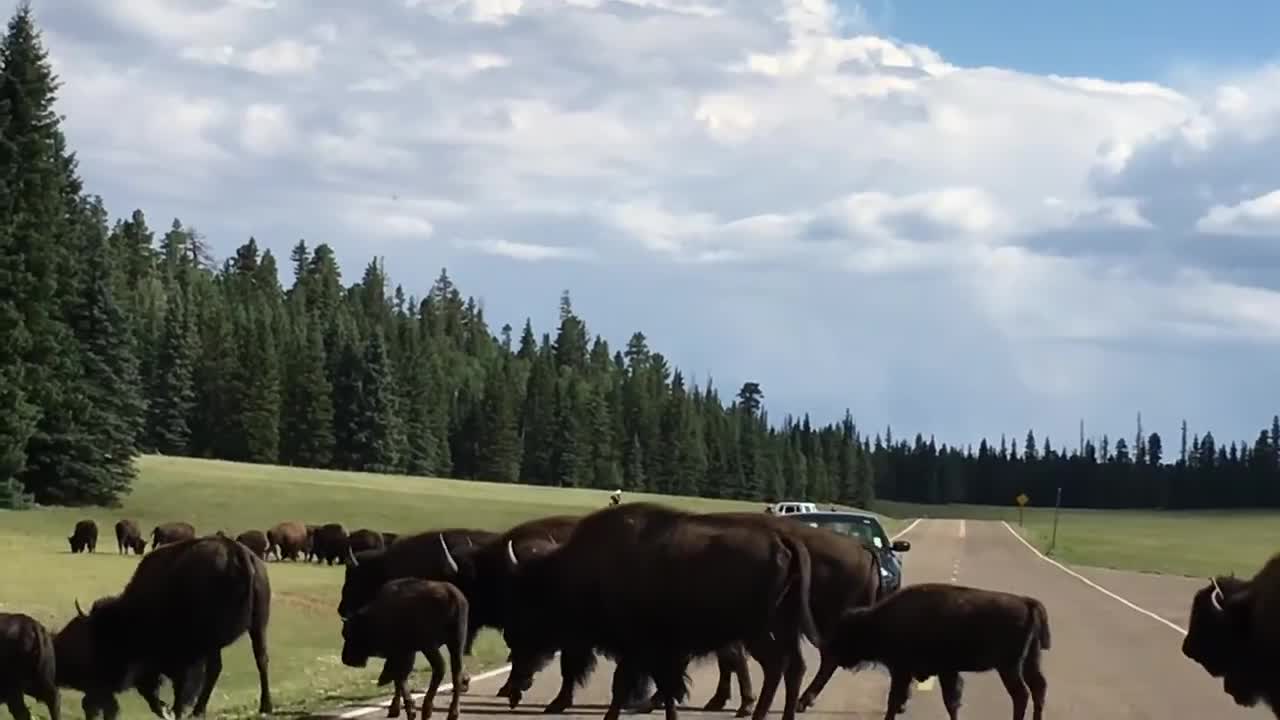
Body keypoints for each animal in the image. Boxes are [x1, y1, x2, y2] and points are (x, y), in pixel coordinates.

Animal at [53, 532, 273, 717]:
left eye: (105, 638)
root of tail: (237, 552)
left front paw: (173, 709)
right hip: (258, 625)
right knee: (260, 659)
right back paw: (265, 706)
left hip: (214, 639)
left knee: (215, 669)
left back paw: (197, 710)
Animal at [343, 573, 473, 717]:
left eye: (348, 635)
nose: (345, 659)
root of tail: (452, 595)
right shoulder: (405, 654)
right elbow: (400, 677)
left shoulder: (400, 653)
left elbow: (399, 678)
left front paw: (406, 709)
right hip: (456, 643)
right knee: (456, 673)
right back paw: (453, 712)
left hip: (430, 647)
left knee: (440, 668)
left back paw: (427, 709)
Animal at [499, 502, 819, 717]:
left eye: (530, 606)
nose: (514, 687)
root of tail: (783, 541)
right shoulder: (658, 649)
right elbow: (666, 688)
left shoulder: (636, 645)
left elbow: (625, 684)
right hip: (781, 627)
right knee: (793, 667)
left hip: (758, 631)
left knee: (776, 665)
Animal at [824, 579, 1054, 717]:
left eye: (846, 633)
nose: (834, 654)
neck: (877, 621)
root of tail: (1026, 602)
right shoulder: (944, 672)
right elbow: (950, 701)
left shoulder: (904, 671)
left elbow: (896, 700)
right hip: (1030, 661)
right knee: (1038, 688)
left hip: (1008, 667)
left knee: (1021, 694)